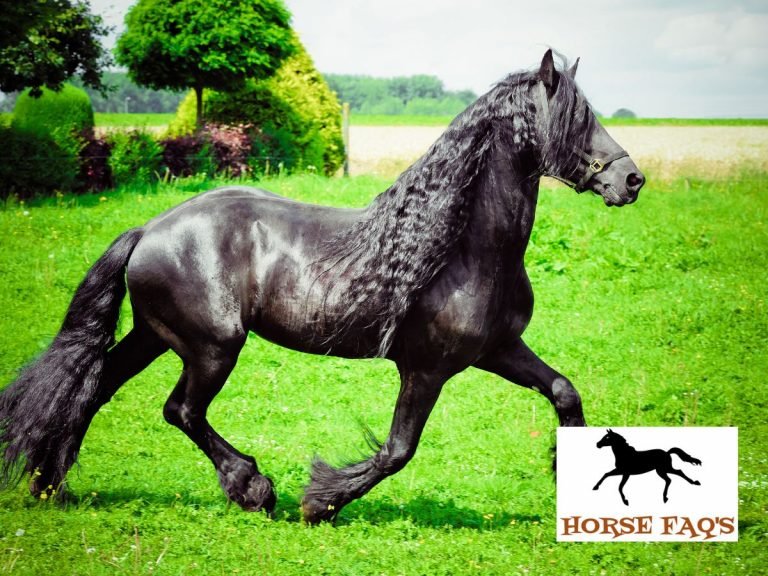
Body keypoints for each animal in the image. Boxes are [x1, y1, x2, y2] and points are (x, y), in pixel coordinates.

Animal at [0, 50, 644, 523]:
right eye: (576, 119)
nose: (631, 179)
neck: (462, 250)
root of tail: (149, 230)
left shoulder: (498, 350)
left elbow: (563, 391)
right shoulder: (426, 369)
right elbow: (397, 451)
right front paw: (320, 503)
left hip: (155, 335)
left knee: (92, 388)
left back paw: (49, 487)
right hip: (212, 347)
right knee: (180, 410)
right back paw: (254, 489)